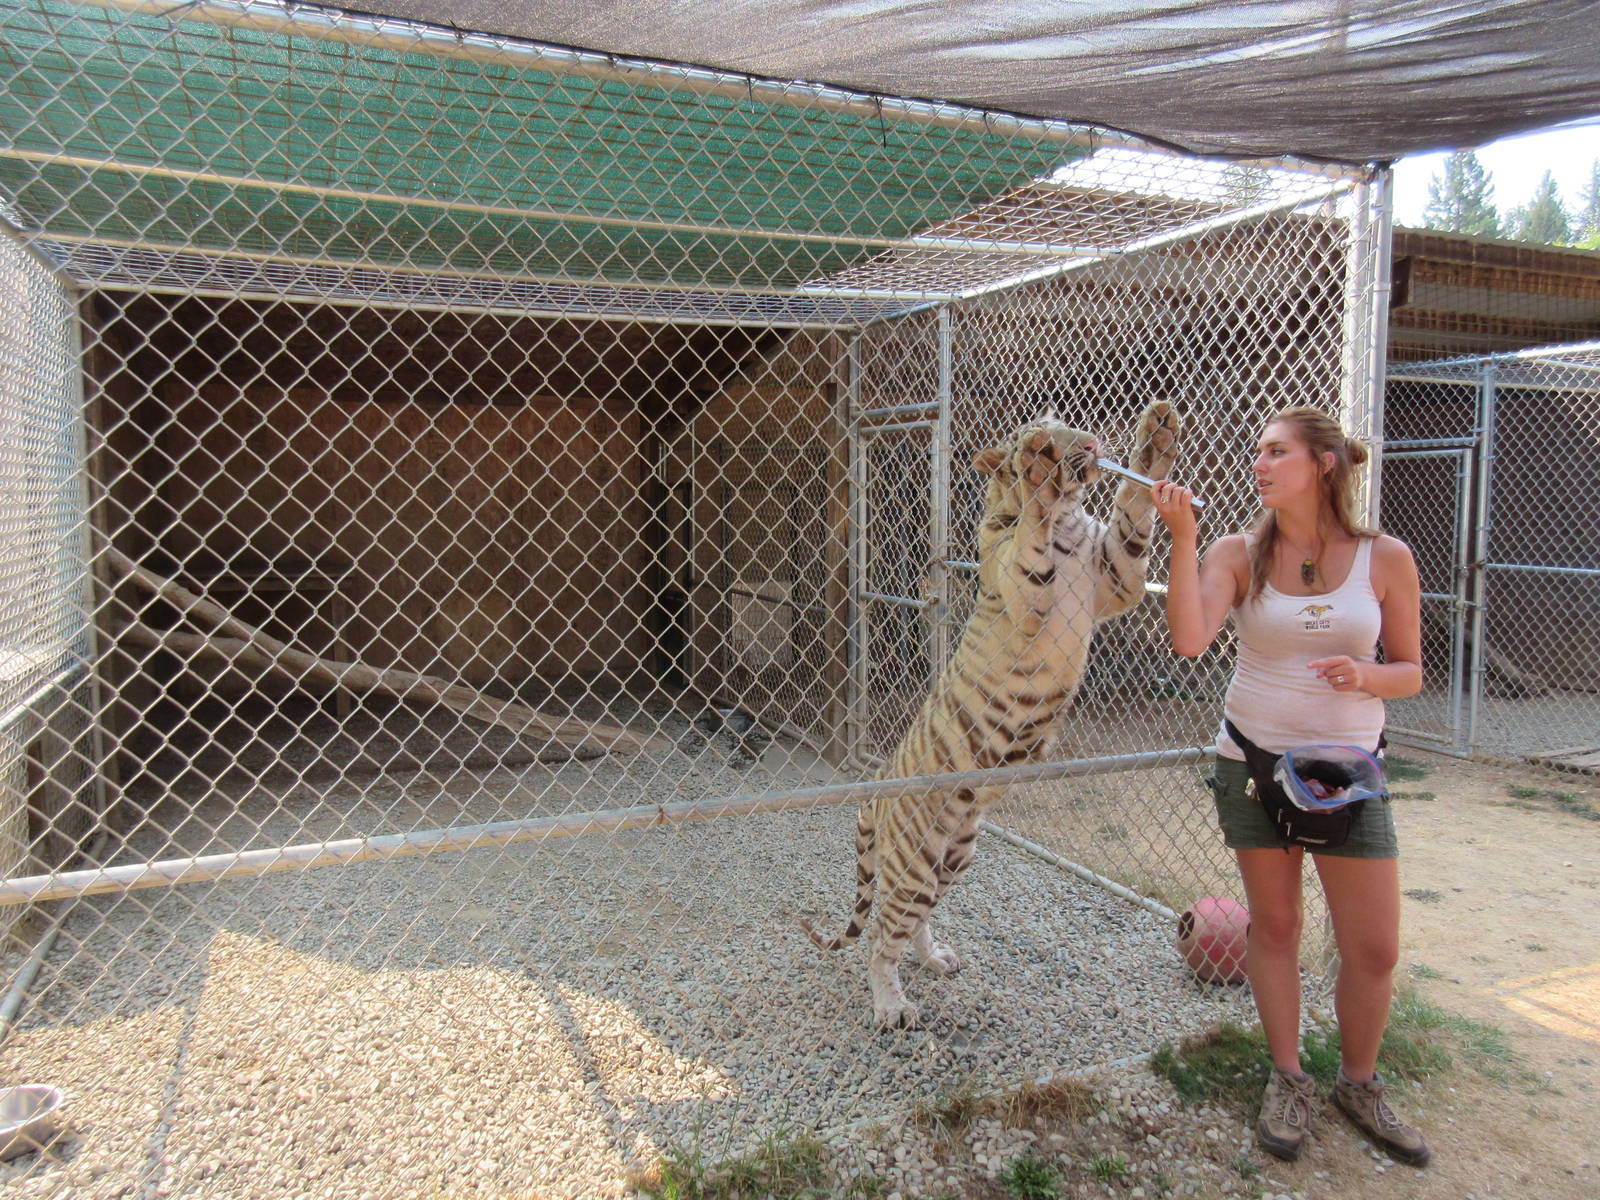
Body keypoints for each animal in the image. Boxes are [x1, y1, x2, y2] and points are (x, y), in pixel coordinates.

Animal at [802, 399, 1180, 1028]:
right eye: (1047, 435)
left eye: (1073, 426)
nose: (1089, 444)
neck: (1070, 520)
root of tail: (877, 787)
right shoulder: (1030, 588)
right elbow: (1032, 530)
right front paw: (1035, 475)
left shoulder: (1117, 574)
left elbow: (1134, 504)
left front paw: (1157, 437)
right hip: (913, 859)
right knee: (881, 937)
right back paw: (891, 1005)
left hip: (954, 855)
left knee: (913, 920)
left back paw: (936, 958)